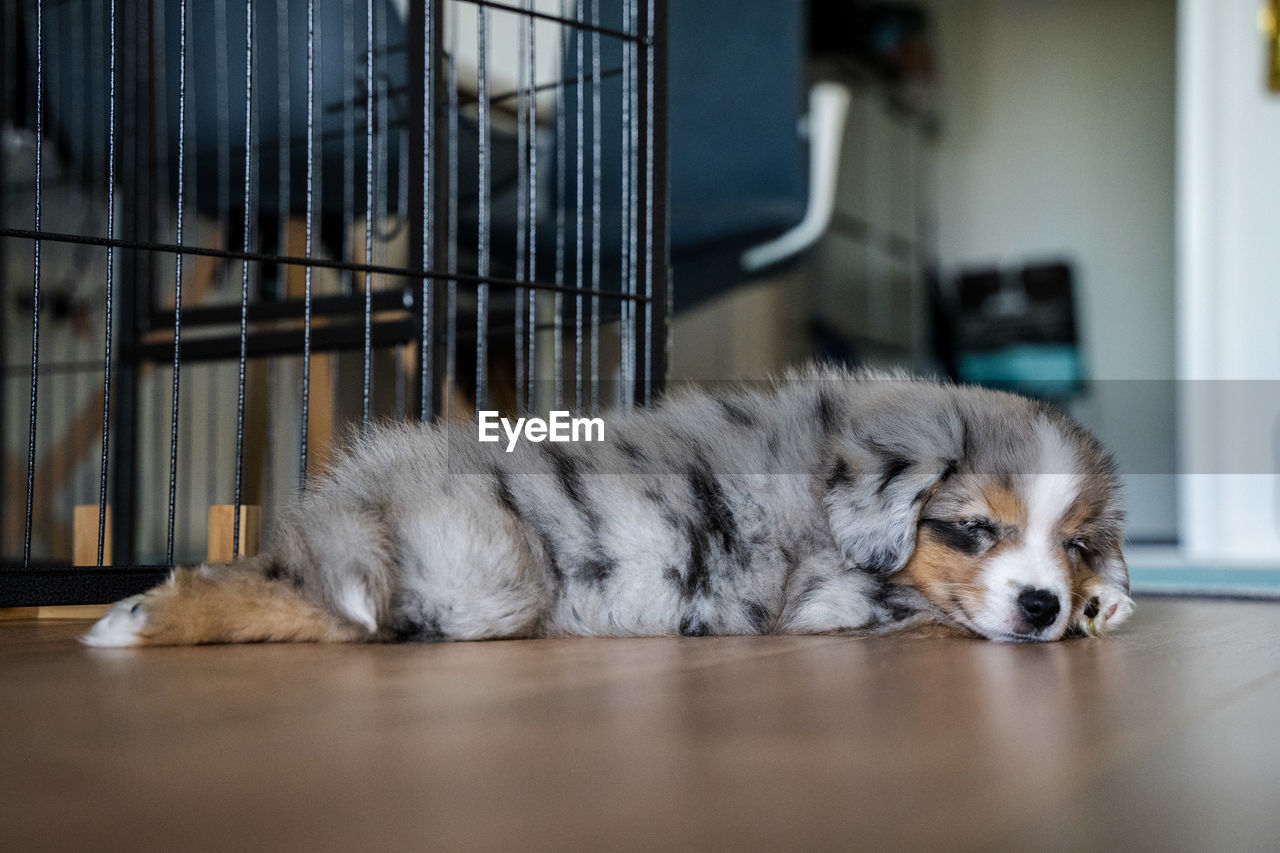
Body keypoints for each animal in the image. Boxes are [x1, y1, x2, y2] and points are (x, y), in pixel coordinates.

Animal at [85, 363, 1136, 645]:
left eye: (1075, 542)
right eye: (973, 529)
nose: (1042, 604)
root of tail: (363, 484)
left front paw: (1106, 597)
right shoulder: (827, 597)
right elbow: (919, 605)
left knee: (295, 589)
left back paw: (135, 609)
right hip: (485, 579)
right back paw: (134, 622)